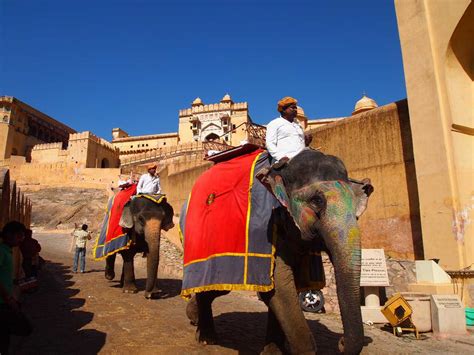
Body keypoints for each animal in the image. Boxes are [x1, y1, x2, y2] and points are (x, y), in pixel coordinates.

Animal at [185, 148, 374, 355]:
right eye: (317, 201)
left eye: (357, 209)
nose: (341, 342)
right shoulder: (266, 230)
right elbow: (280, 287)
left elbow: (281, 290)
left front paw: (273, 351)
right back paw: (206, 338)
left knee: (218, 287)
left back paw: (193, 316)